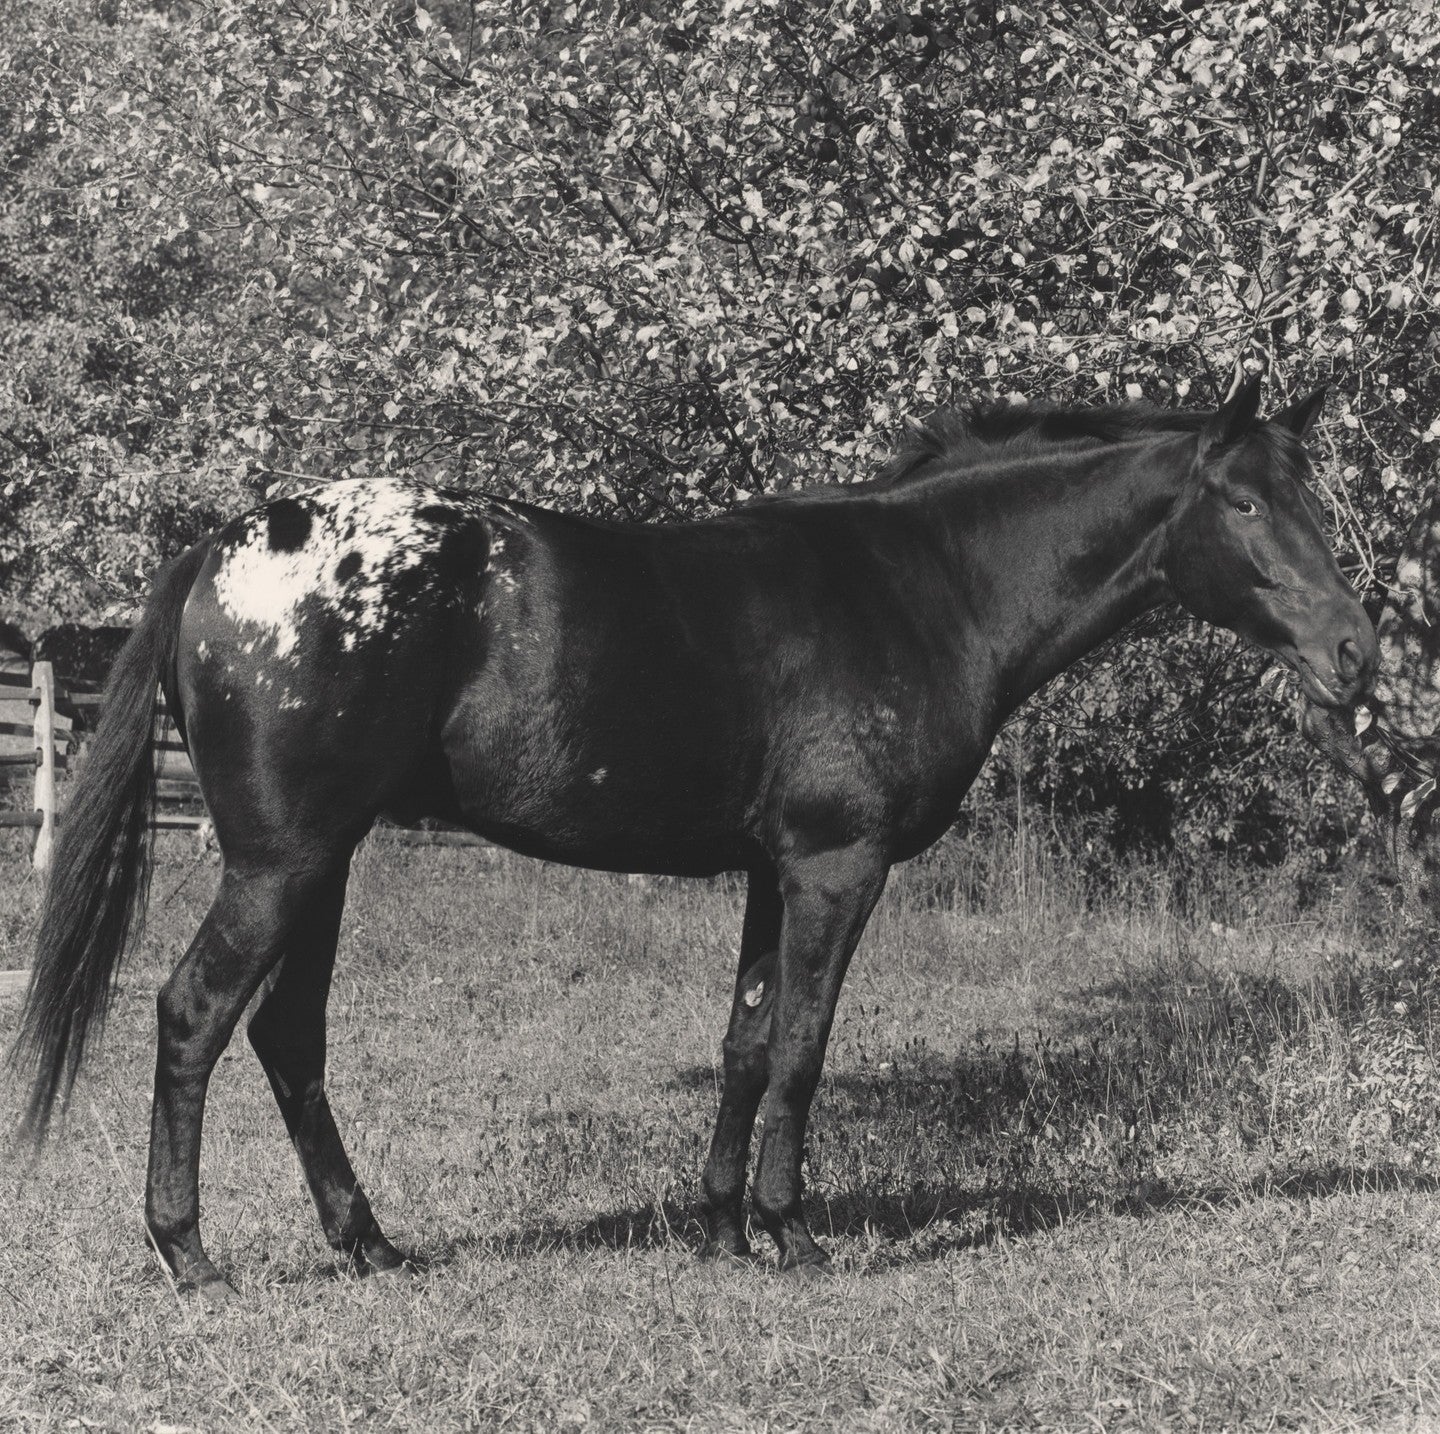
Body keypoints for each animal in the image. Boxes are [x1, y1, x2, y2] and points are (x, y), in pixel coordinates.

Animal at [14, 371, 1382, 1301]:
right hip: (282, 862)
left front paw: (722, 1229)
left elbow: (745, 1041)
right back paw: (189, 1253)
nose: (1357, 653)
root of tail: (219, 550)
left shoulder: (773, 873)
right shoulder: (836, 867)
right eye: (1243, 501)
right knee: (195, 1015)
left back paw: (371, 1244)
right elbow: (804, 1048)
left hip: (328, 863)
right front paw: (792, 1231)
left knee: (288, 1038)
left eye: (1315, 498)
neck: (922, 588)